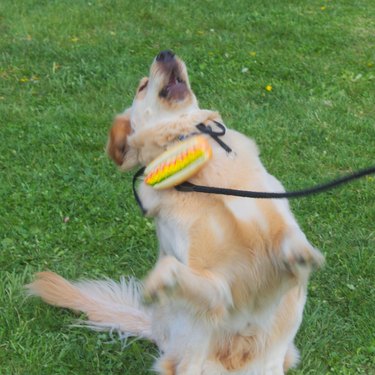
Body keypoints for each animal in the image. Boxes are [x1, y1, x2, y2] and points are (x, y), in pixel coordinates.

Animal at [27, 50, 324, 375]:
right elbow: (177, 270)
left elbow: (290, 236)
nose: (165, 54)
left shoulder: (275, 219)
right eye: (142, 86)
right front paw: (157, 283)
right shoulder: (217, 287)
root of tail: (156, 331)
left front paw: (303, 255)